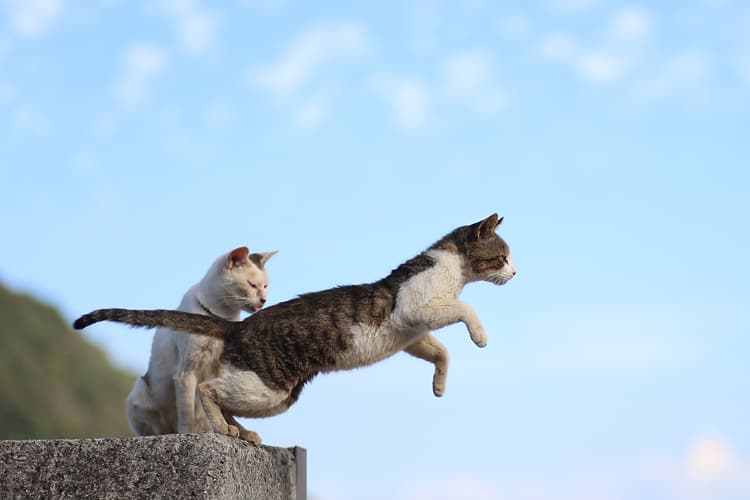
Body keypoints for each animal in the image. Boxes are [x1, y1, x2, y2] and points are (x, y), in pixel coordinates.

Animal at [126, 248, 280, 436]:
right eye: (251, 285)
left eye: (266, 286)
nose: (264, 300)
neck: (221, 317)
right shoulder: (186, 373)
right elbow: (187, 413)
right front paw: (187, 434)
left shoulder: (220, 371)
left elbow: (221, 405)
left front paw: (231, 429)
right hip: (139, 392)